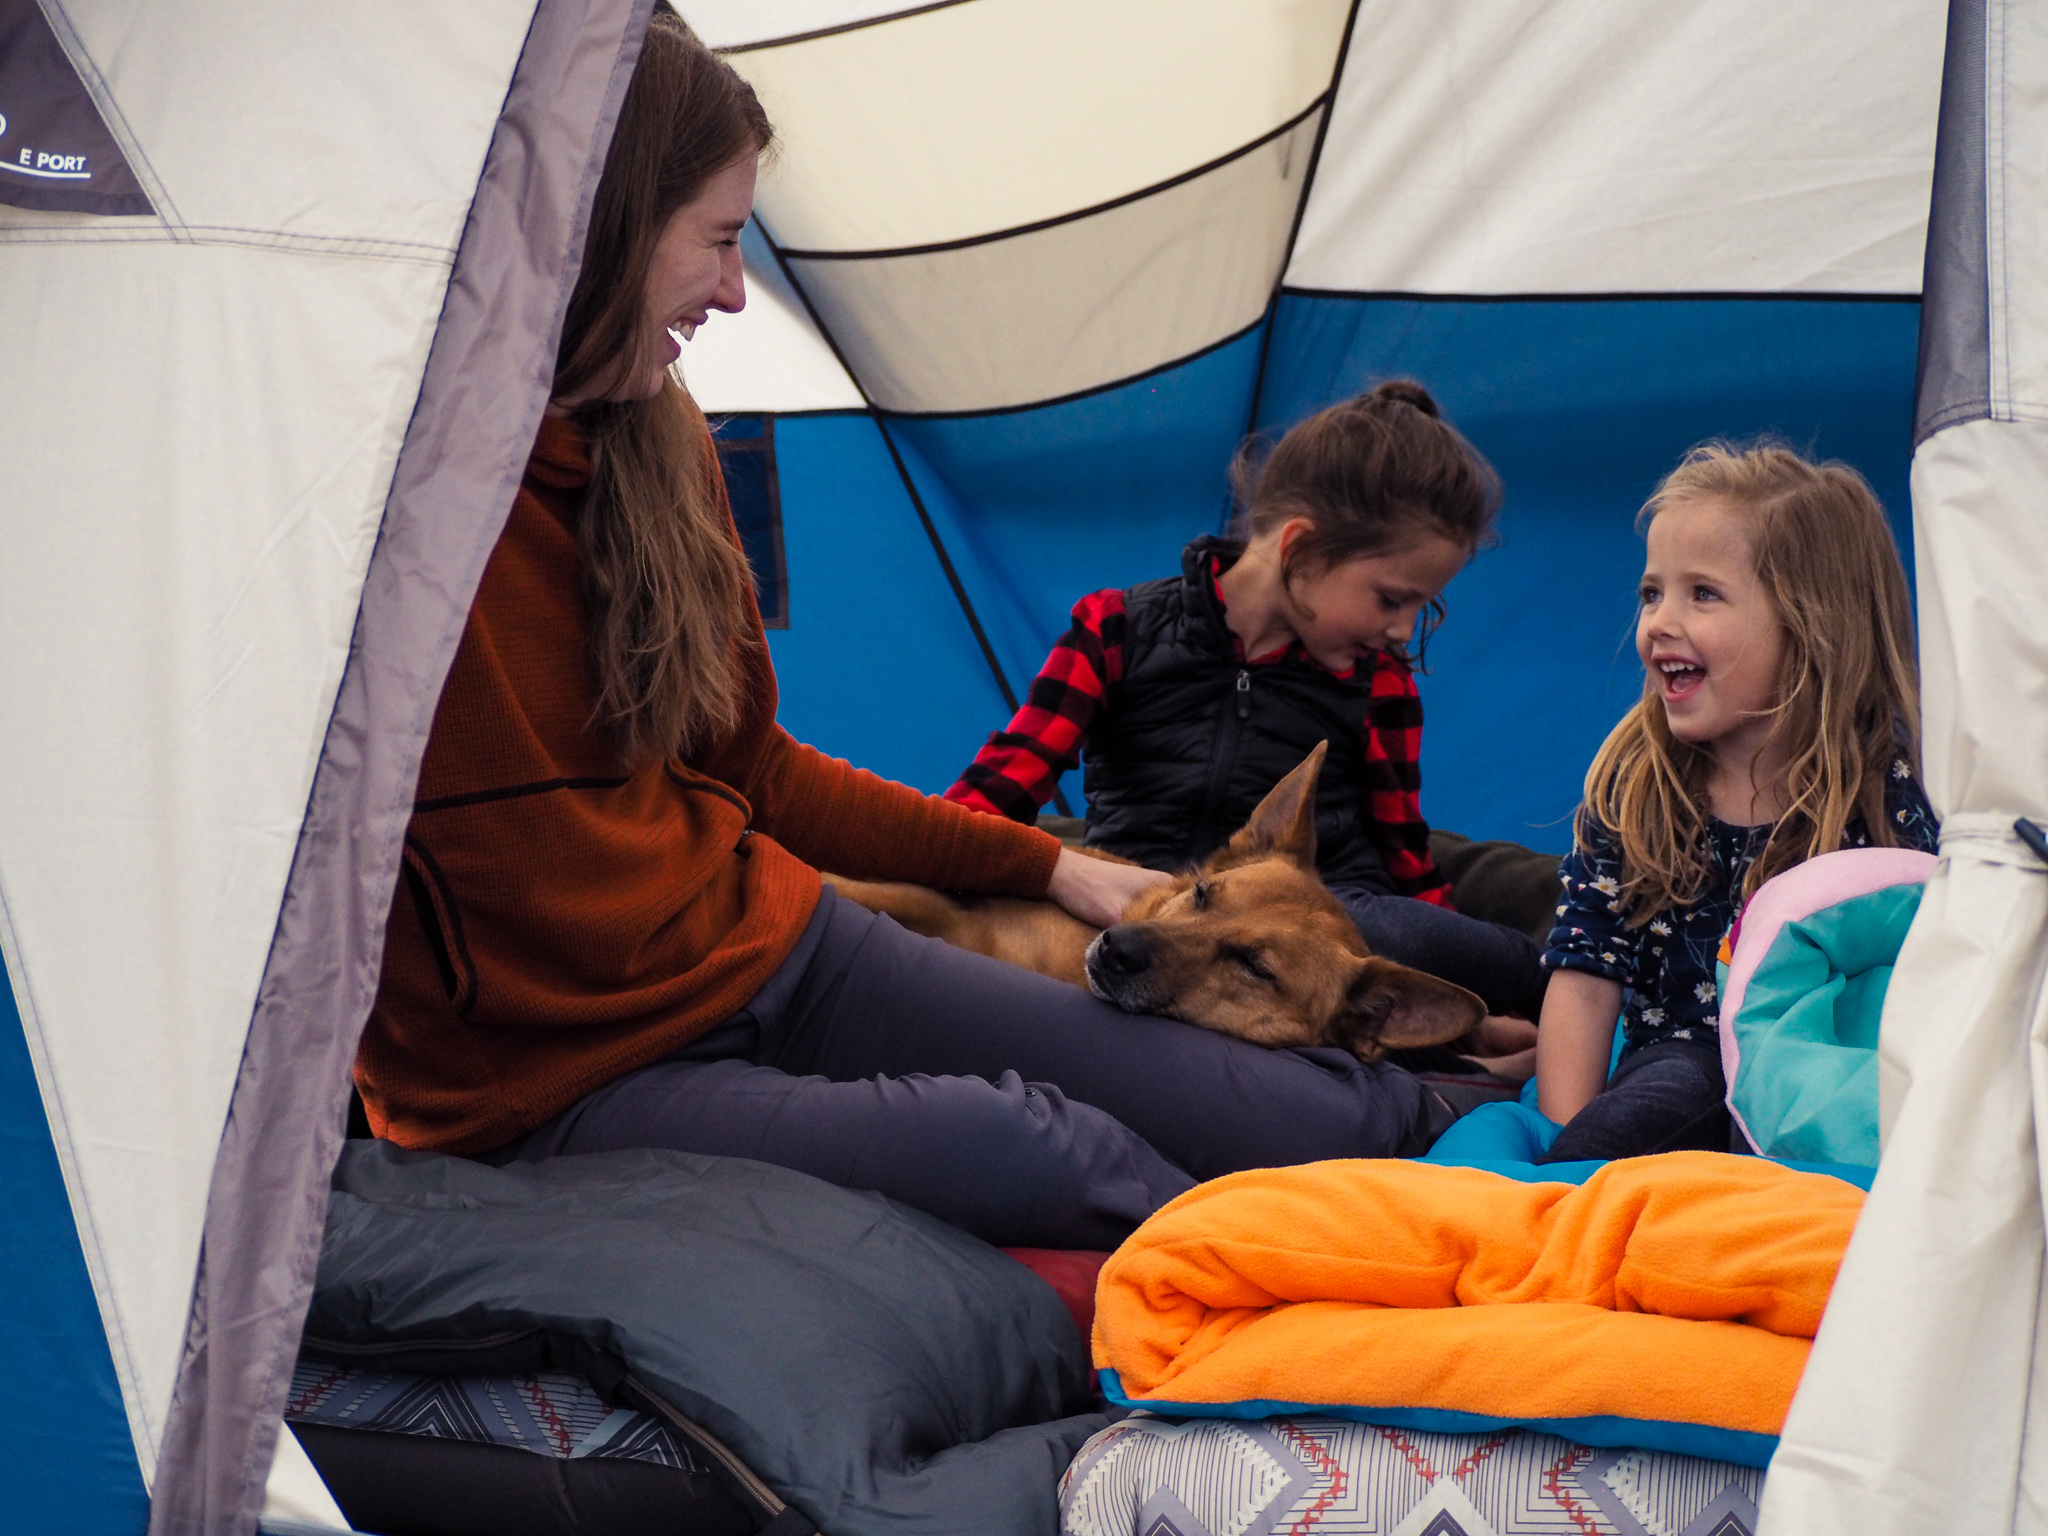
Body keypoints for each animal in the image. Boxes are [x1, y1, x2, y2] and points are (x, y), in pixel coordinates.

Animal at [823, 749, 1482, 1073]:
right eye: (1203, 893)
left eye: (1256, 968)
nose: (1116, 948)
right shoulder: (943, 907)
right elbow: (843, 883)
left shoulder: (953, 916)